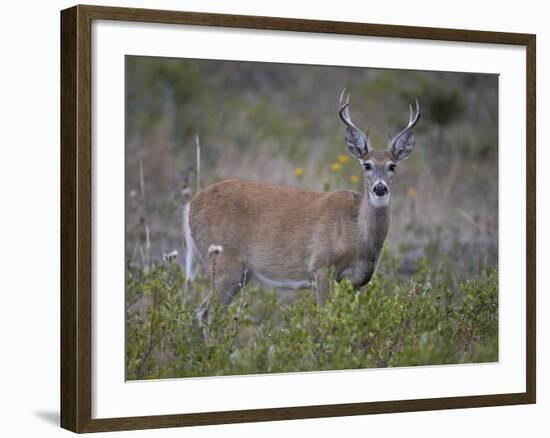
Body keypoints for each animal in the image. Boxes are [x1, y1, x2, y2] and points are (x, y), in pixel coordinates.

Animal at [185, 91, 422, 312]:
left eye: (392, 166)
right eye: (367, 164)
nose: (380, 188)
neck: (356, 233)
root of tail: (190, 206)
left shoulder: (358, 279)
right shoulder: (321, 265)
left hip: (240, 272)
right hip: (223, 261)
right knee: (205, 312)